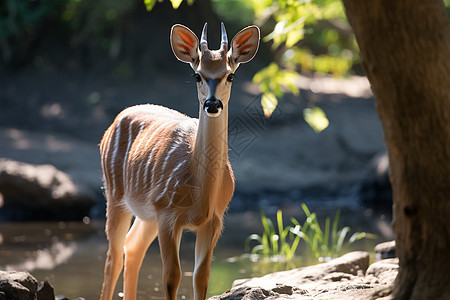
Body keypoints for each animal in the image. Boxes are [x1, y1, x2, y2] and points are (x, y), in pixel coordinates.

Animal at [98, 21, 260, 300]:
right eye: (197, 75)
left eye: (230, 75)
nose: (212, 104)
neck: (200, 193)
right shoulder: (167, 212)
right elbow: (171, 276)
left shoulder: (214, 219)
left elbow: (201, 277)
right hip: (115, 194)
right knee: (113, 256)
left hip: (146, 212)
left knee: (132, 246)